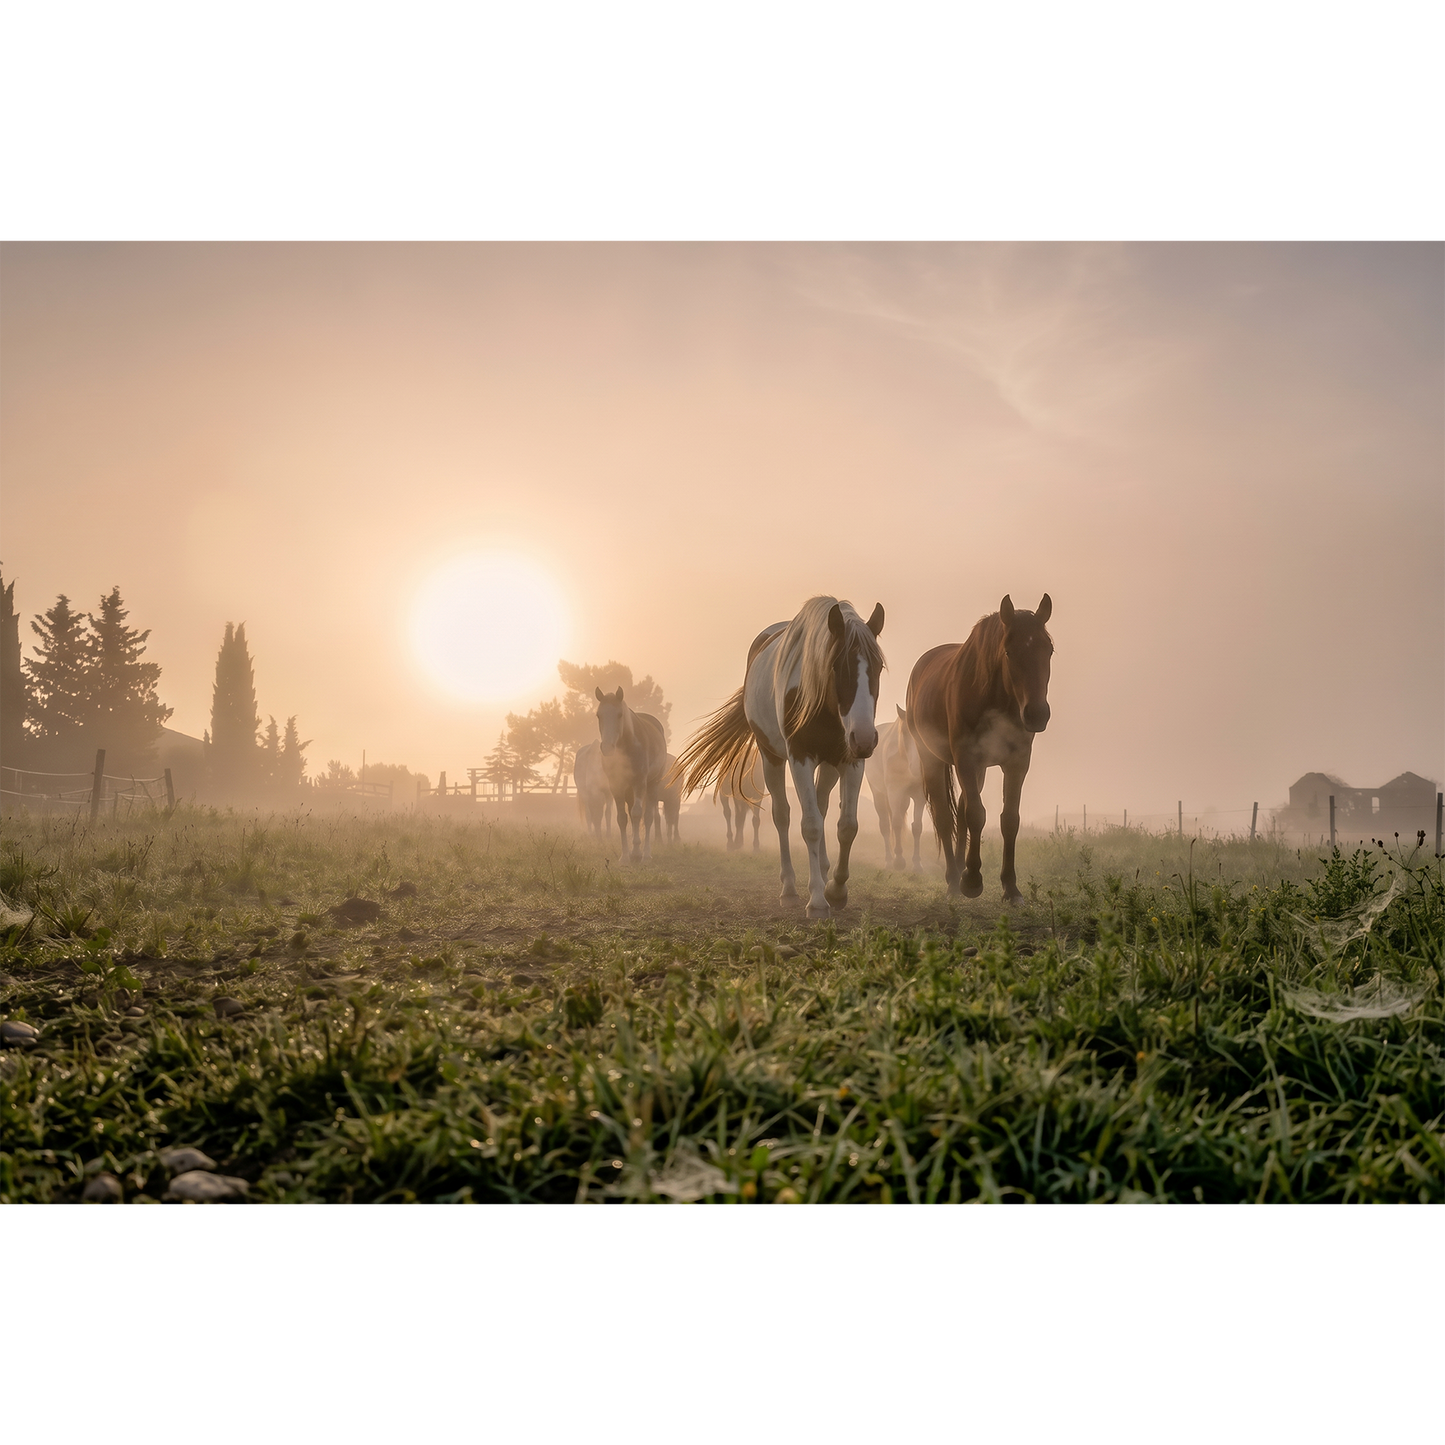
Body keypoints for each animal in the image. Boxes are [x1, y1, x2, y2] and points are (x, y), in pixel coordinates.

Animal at [594, 686, 667, 862]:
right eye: (599, 715)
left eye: (620, 714)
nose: (607, 748)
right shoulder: (616, 785)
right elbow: (622, 818)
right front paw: (626, 856)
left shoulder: (639, 783)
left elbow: (637, 814)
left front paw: (637, 852)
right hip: (628, 791)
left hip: (652, 785)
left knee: (648, 817)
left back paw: (645, 853)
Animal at [675, 596, 884, 918]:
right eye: (837, 665)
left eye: (878, 667)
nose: (864, 738)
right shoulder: (798, 757)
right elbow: (809, 825)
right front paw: (817, 900)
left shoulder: (850, 760)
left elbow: (847, 826)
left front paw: (836, 889)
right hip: (770, 757)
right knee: (782, 816)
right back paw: (789, 889)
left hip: (829, 764)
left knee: (822, 807)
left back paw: (823, 871)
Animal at [865, 704, 927, 871]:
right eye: (905, 732)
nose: (918, 767)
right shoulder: (895, 793)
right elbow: (897, 823)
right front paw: (899, 860)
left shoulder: (919, 797)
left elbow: (917, 827)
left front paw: (917, 863)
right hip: (879, 794)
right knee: (886, 825)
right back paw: (889, 861)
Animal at [906, 594, 1053, 901]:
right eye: (1008, 652)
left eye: (1049, 651)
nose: (1037, 714)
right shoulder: (966, 759)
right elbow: (976, 814)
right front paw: (972, 880)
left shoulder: (1017, 763)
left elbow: (1009, 819)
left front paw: (1011, 887)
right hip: (932, 759)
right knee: (944, 816)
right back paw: (953, 879)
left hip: (980, 770)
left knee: (960, 811)